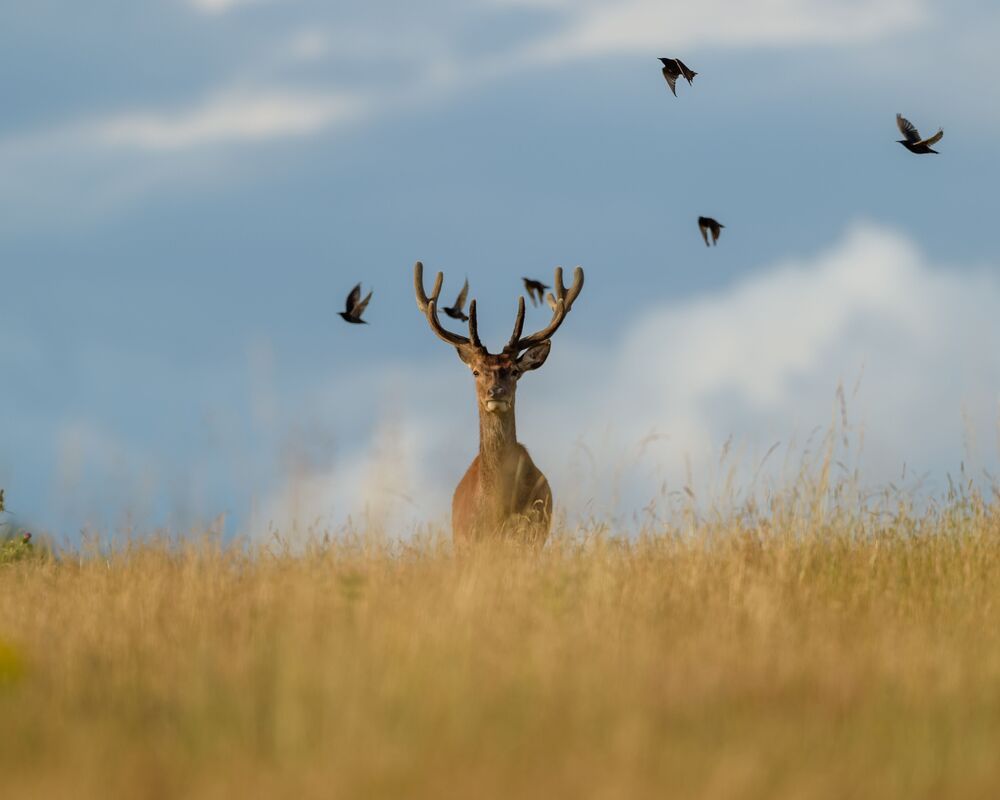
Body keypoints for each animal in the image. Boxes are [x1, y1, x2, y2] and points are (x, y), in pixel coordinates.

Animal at [414, 261, 585, 545]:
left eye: (514, 371)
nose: (496, 392)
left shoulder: (533, 533)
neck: (497, 507)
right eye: (475, 371)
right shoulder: (469, 539)